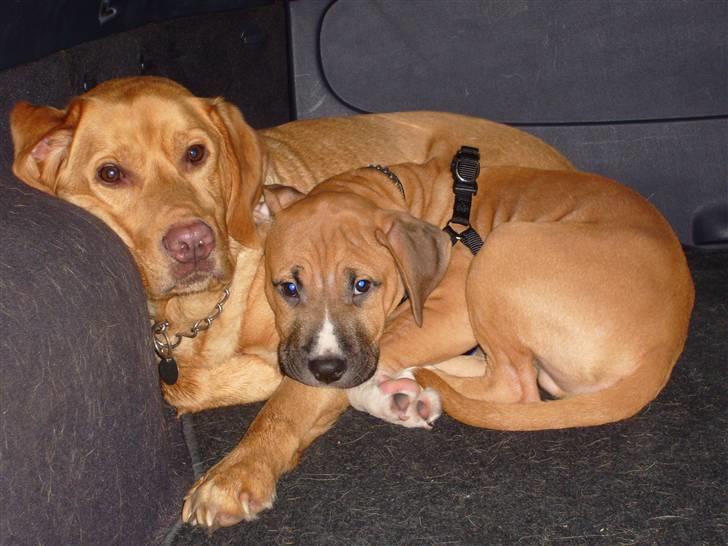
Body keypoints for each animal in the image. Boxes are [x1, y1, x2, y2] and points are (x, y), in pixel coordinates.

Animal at [7, 74, 576, 524]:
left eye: (195, 153)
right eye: (110, 174)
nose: (193, 243)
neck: (200, 313)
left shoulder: (322, 346)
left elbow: (284, 404)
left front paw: (237, 471)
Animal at [262, 158, 692, 430]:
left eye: (362, 285)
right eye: (289, 288)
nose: (325, 370)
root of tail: (664, 346)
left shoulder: (449, 312)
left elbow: (380, 357)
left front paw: (386, 394)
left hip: (503, 249)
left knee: (515, 387)